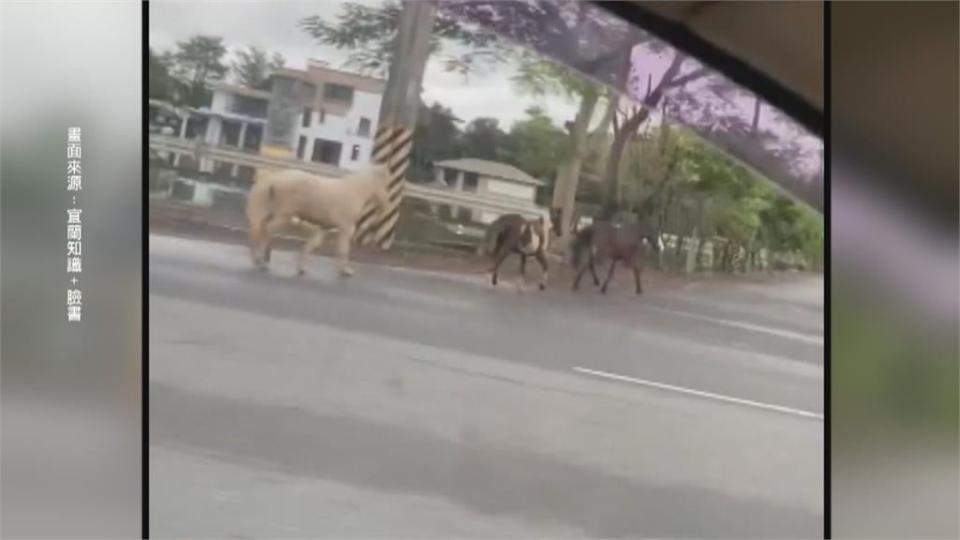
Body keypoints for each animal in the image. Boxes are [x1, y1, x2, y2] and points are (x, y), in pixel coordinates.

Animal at [246, 162, 392, 276]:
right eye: (385, 184)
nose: (386, 205)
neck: (355, 191)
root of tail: (273, 180)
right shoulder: (345, 227)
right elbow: (343, 248)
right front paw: (345, 271)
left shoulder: (324, 227)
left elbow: (313, 244)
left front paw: (302, 268)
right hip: (284, 215)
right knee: (267, 229)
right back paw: (261, 260)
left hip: (267, 211)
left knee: (260, 229)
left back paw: (261, 259)